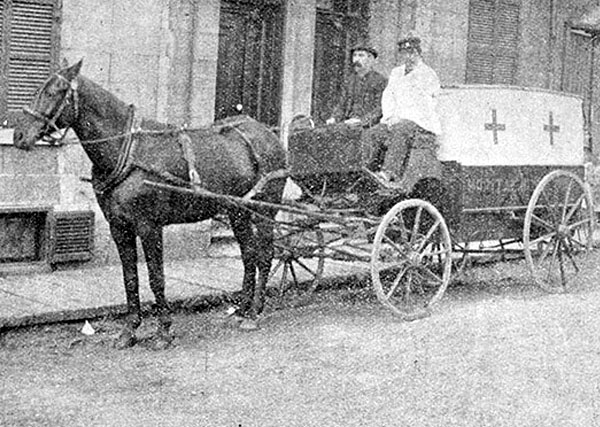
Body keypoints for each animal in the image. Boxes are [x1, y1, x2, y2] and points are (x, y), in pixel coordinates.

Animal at [11, 59, 288, 348]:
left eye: (54, 91)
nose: (19, 135)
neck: (127, 149)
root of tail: (267, 133)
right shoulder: (119, 227)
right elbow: (130, 278)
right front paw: (129, 330)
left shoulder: (149, 226)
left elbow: (157, 278)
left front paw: (164, 330)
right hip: (238, 211)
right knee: (249, 255)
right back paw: (243, 310)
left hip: (265, 209)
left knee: (265, 255)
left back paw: (254, 313)